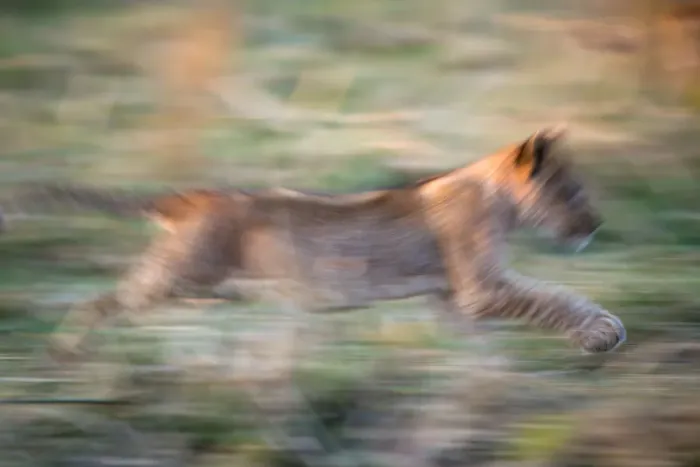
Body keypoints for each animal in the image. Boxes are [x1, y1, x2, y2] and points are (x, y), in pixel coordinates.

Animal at [0, 125, 626, 362]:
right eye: (571, 191)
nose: (596, 224)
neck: (498, 197)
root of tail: (192, 195)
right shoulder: (480, 285)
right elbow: (552, 297)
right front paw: (602, 331)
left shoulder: (453, 297)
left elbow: (481, 337)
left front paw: (483, 373)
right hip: (179, 274)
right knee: (104, 300)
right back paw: (67, 348)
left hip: (198, 282)